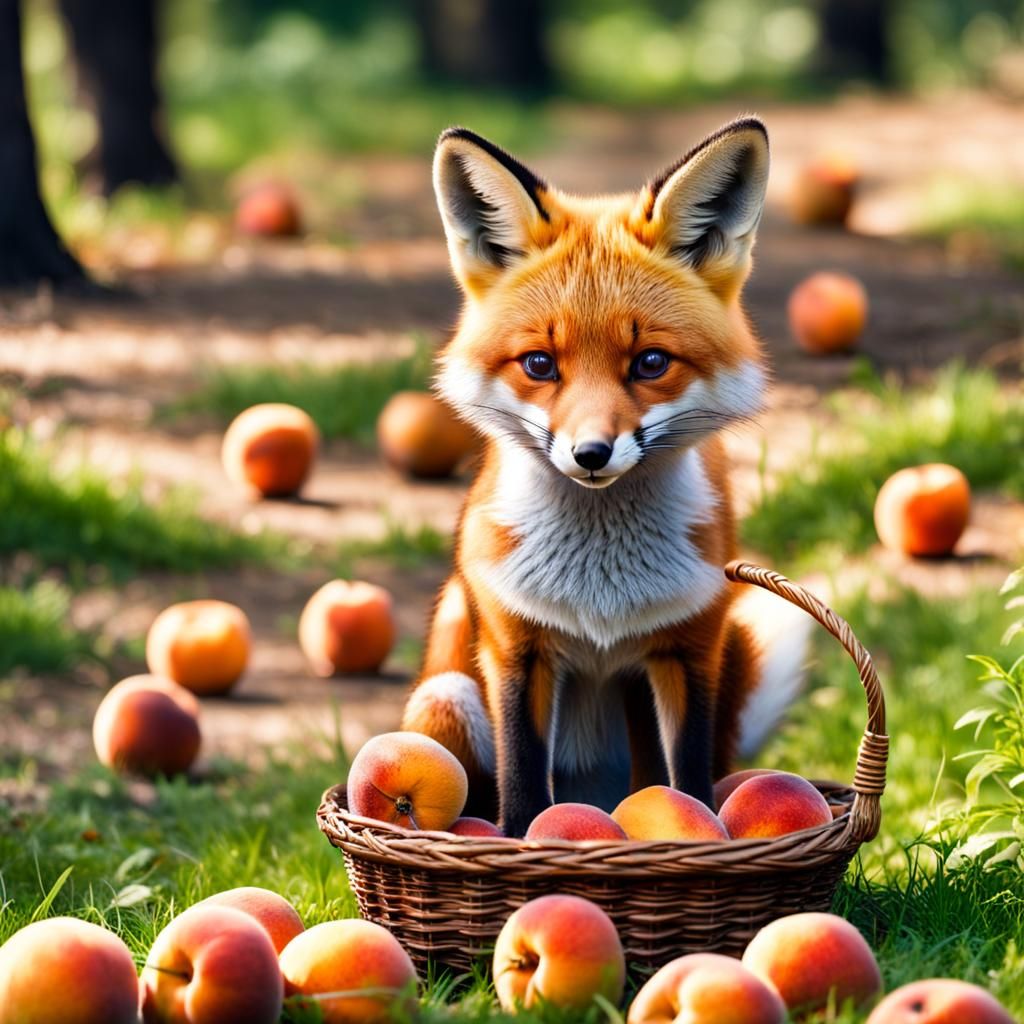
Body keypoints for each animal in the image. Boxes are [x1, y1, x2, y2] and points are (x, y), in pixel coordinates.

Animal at [401, 117, 810, 838]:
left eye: (650, 363)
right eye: (539, 364)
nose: (591, 453)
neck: (600, 592)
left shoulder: (690, 651)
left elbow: (691, 781)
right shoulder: (516, 650)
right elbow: (522, 790)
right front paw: (521, 846)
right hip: (445, 693)